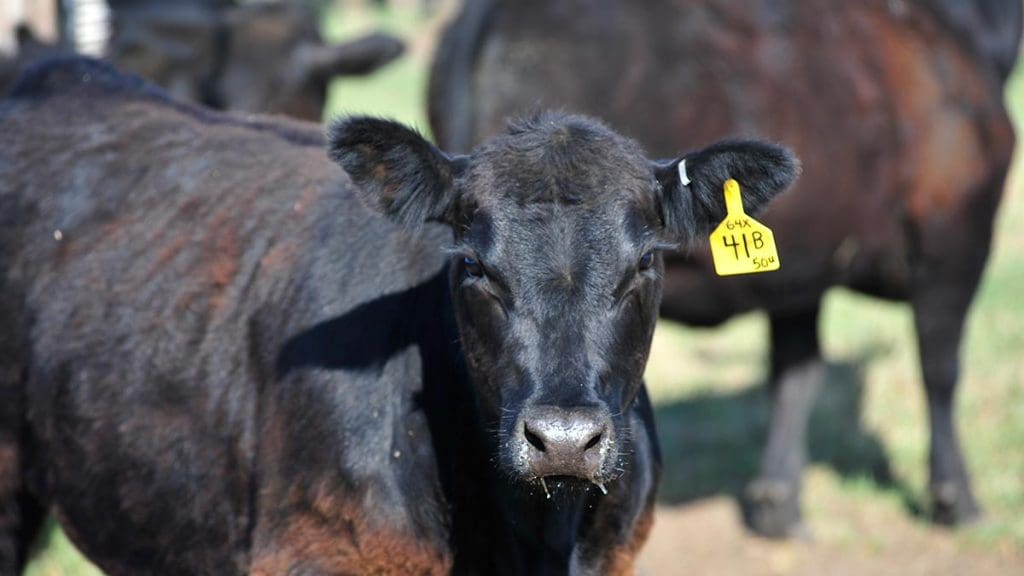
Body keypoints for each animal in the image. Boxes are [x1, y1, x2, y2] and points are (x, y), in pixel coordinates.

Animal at [428, 0, 1021, 537]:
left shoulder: (800, 273)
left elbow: (795, 375)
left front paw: (778, 505)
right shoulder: (957, 234)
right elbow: (940, 369)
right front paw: (956, 499)